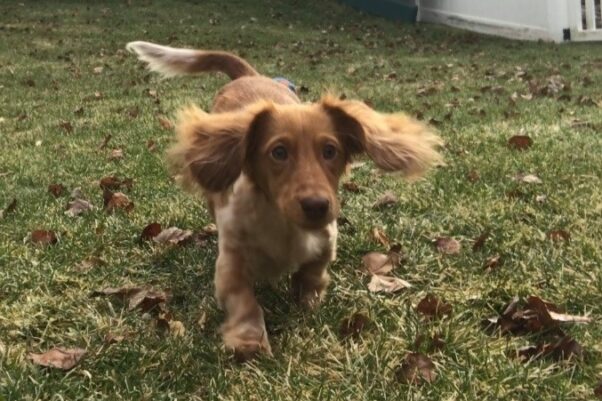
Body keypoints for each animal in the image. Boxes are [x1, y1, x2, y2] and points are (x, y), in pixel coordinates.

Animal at [125, 40, 440, 360]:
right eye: (278, 152)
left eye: (330, 151)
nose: (317, 206)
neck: (283, 224)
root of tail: (250, 76)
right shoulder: (231, 262)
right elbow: (244, 301)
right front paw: (249, 339)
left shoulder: (326, 240)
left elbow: (313, 272)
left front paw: (308, 300)